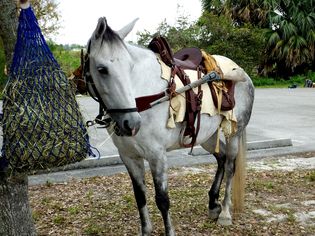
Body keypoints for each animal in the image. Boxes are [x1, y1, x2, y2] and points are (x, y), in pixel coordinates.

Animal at [85, 17, 256, 235]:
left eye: (130, 67)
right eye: (101, 69)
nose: (131, 123)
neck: (144, 97)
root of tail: (241, 73)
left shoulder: (157, 155)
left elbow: (162, 200)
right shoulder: (129, 156)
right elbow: (140, 196)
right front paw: (146, 230)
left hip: (235, 132)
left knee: (230, 165)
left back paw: (225, 212)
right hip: (207, 137)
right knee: (221, 158)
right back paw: (213, 204)